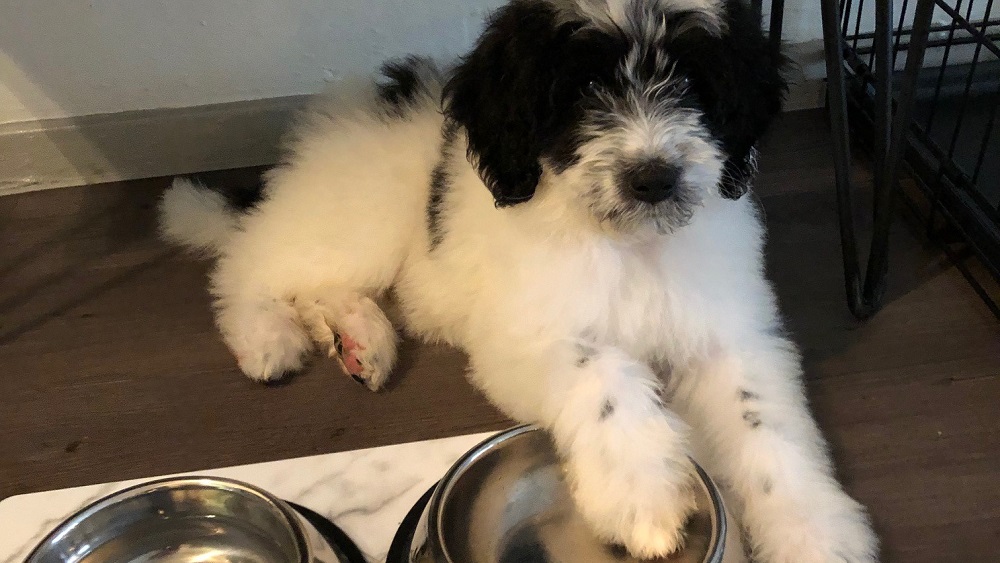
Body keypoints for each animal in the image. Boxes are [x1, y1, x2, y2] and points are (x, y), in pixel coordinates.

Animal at [160, 2, 880, 560]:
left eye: (688, 77)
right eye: (583, 87)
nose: (653, 178)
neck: (627, 244)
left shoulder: (729, 332)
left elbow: (766, 426)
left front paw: (815, 533)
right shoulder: (522, 334)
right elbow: (602, 374)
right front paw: (641, 494)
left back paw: (364, 341)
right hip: (359, 220)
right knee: (250, 261)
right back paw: (267, 336)